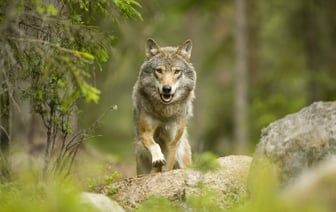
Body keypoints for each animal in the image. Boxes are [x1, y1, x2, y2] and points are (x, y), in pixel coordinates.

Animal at [133, 38, 197, 176]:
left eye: (176, 71)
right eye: (159, 70)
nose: (167, 89)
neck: (165, 113)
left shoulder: (172, 143)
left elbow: (168, 167)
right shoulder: (145, 133)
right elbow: (155, 145)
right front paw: (158, 158)